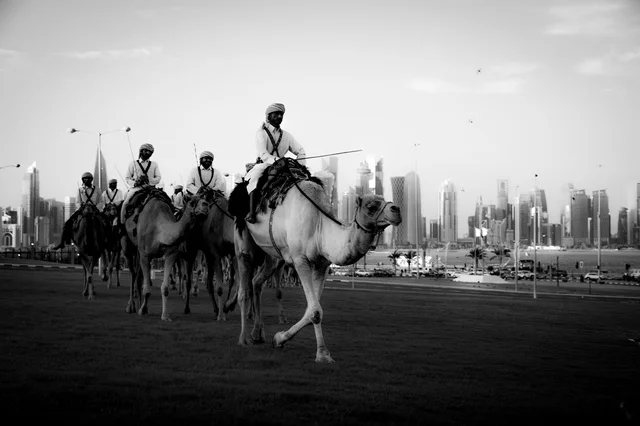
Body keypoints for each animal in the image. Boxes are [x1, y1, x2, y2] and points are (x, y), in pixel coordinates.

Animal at [121, 187, 211, 319]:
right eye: (192, 202)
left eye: (204, 199)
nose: (206, 205)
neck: (159, 232)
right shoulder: (145, 254)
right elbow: (147, 288)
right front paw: (143, 310)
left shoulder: (171, 255)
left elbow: (165, 288)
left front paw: (165, 315)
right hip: (128, 245)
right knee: (133, 273)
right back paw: (131, 306)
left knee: (138, 276)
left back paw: (138, 303)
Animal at [228, 159, 401, 363]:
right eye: (371, 206)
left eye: (383, 200)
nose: (396, 209)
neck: (320, 227)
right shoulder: (300, 260)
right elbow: (315, 311)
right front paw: (319, 352)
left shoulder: (321, 264)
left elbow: (314, 309)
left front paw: (284, 340)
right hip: (243, 238)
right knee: (244, 286)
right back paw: (243, 339)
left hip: (272, 254)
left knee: (257, 282)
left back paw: (257, 333)